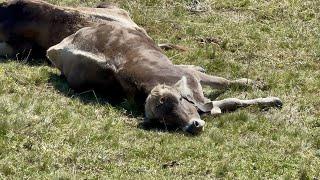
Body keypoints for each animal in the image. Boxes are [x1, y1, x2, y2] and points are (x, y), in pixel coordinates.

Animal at [0, 0, 282, 134]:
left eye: (178, 103)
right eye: (165, 121)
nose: (193, 126)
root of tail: (59, 46)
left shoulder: (192, 83)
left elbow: (227, 87)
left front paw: (257, 86)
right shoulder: (203, 100)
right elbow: (228, 99)